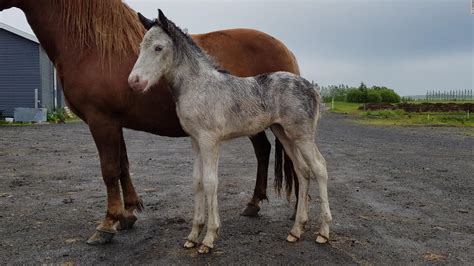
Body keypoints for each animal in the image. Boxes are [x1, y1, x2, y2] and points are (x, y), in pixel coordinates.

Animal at [0, 0, 300, 244]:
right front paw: (128, 214)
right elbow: (122, 165)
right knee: (263, 151)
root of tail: (286, 51)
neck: (93, 47)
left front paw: (107, 224)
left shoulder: (101, 120)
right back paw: (254, 204)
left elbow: (109, 169)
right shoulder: (113, 122)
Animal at [128, 9, 332, 254]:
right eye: (141, 46)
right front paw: (193, 235)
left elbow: (210, 182)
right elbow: (196, 181)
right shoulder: (195, 141)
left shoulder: (210, 140)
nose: (134, 82)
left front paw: (208, 238)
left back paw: (323, 232)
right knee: (303, 171)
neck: (199, 86)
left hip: (302, 135)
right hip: (284, 133)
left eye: (158, 47)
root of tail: (312, 88)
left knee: (319, 167)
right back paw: (296, 230)